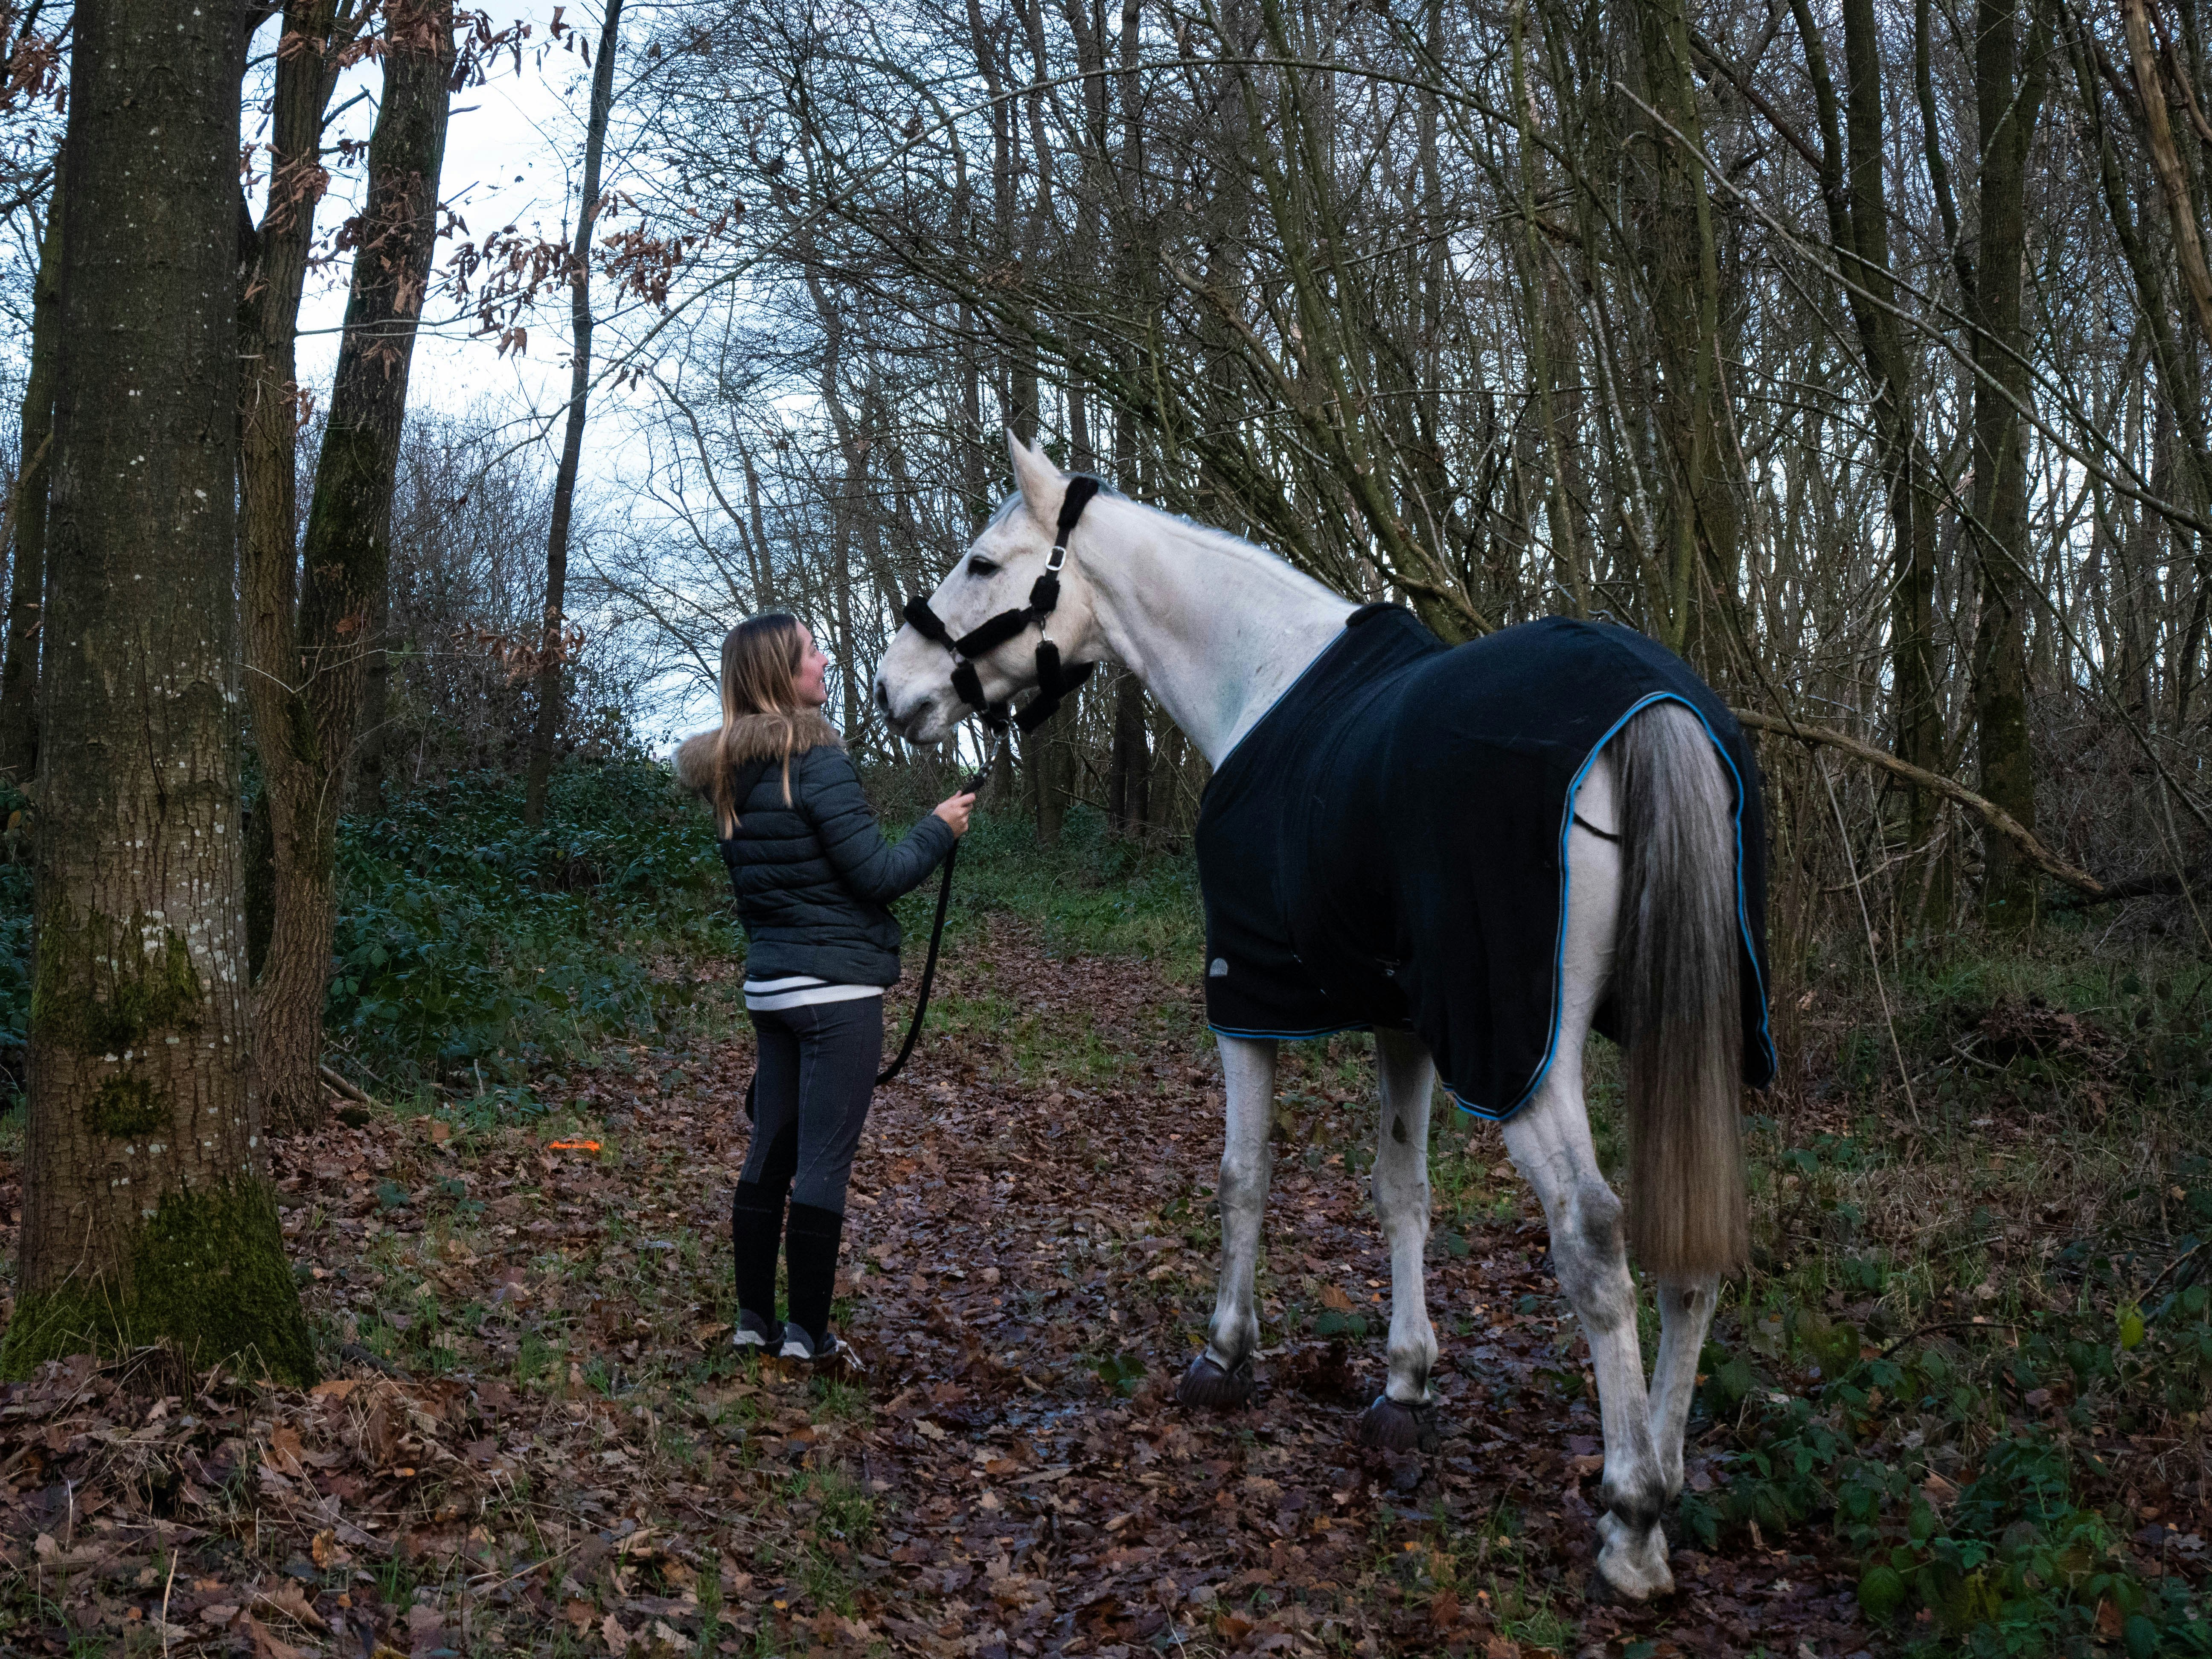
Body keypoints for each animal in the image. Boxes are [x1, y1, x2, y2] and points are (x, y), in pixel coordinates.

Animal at [873, 434, 1770, 1601]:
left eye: (982, 563)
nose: (892, 689)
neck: (1258, 675)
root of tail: (1654, 703)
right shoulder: (1407, 1020)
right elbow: (1401, 1193)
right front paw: (1402, 1388)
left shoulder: (1247, 1002)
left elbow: (1243, 1177)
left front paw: (1223, 1355)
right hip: (1678, 1037)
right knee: (1689, 1250)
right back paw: (1662, 1476)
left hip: (1521, 1054)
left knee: (1594, 1235)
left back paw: (1628, 1520)